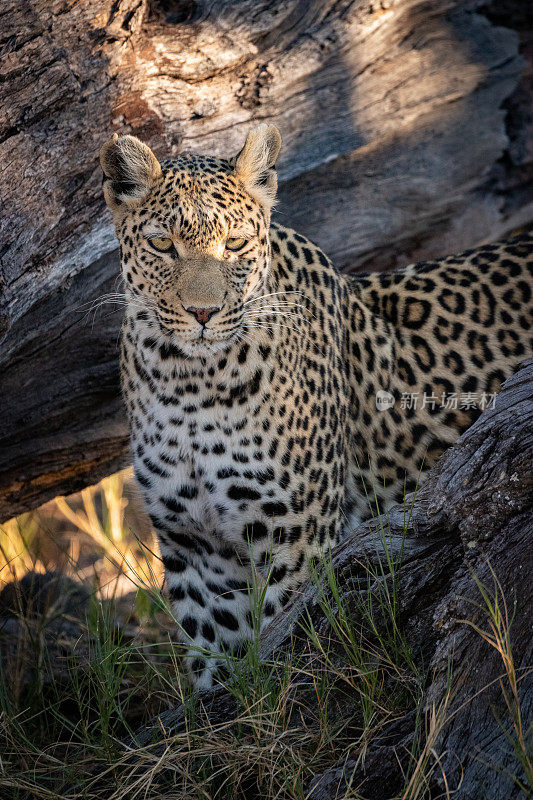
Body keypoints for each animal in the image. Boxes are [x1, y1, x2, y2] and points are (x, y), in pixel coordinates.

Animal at [100, 123, 532, 688]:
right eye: (161, 245)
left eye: (234, 244)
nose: (203, 313)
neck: (188, 384)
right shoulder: (196, 550)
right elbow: (219, 670)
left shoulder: (294, 536)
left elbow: (282, 655)